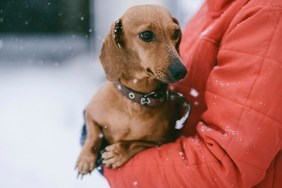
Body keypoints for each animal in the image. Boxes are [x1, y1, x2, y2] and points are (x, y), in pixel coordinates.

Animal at [76, 4, 188, 176]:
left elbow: (137, 143)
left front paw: (118, 153)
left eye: (176, 33)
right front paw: (85, 158)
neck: (135, 98)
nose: (181, 71)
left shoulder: (161, 141)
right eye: (146, 35)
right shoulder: (89, 112)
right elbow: (93, 134)